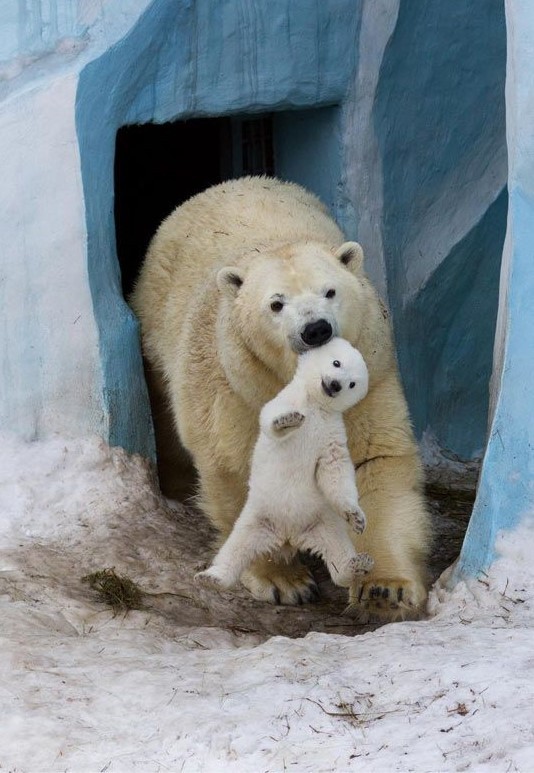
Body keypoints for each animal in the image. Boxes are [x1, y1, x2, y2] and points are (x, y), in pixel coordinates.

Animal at [132, 176, 434, 620]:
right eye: (276, 304)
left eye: (330, 291)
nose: (316, 329)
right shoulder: (238, 389)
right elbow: (238, 468)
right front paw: (283, 579)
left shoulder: (371, 377)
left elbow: (373, 459)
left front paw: (385, 589)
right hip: (156, 327)